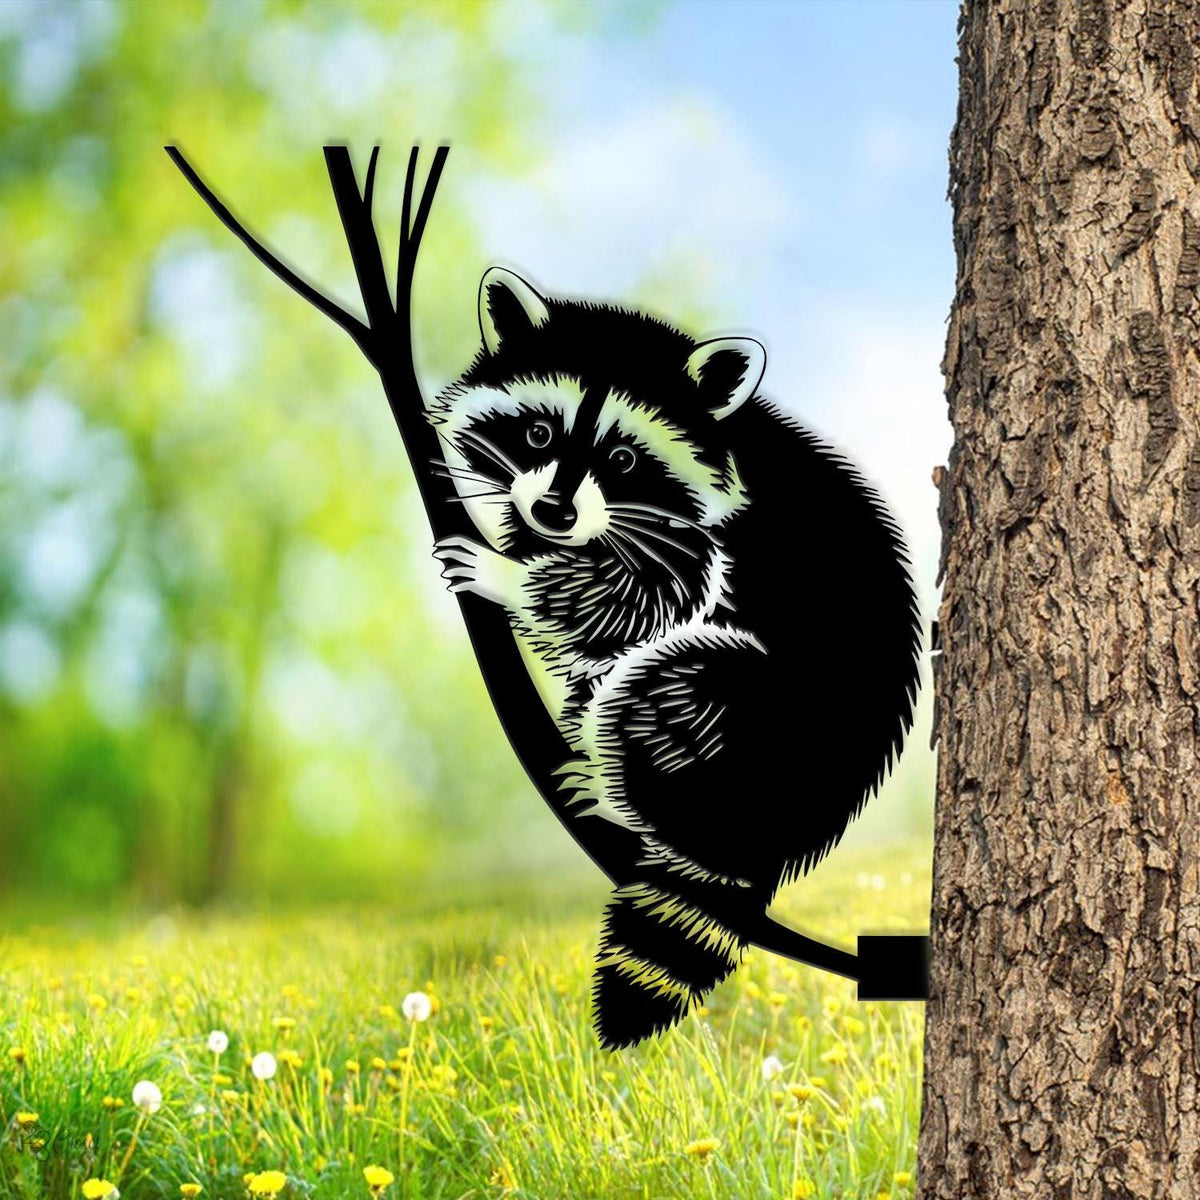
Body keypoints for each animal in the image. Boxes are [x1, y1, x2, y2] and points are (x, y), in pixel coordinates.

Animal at [430, 268, 922, 1048]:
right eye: (539, 431)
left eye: (624, 457)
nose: (554, 514)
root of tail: (774, 831)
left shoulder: (702, 539)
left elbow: (635, 605)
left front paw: (510, 575)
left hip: (756, 724)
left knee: (674, 682)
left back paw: (617, 790)